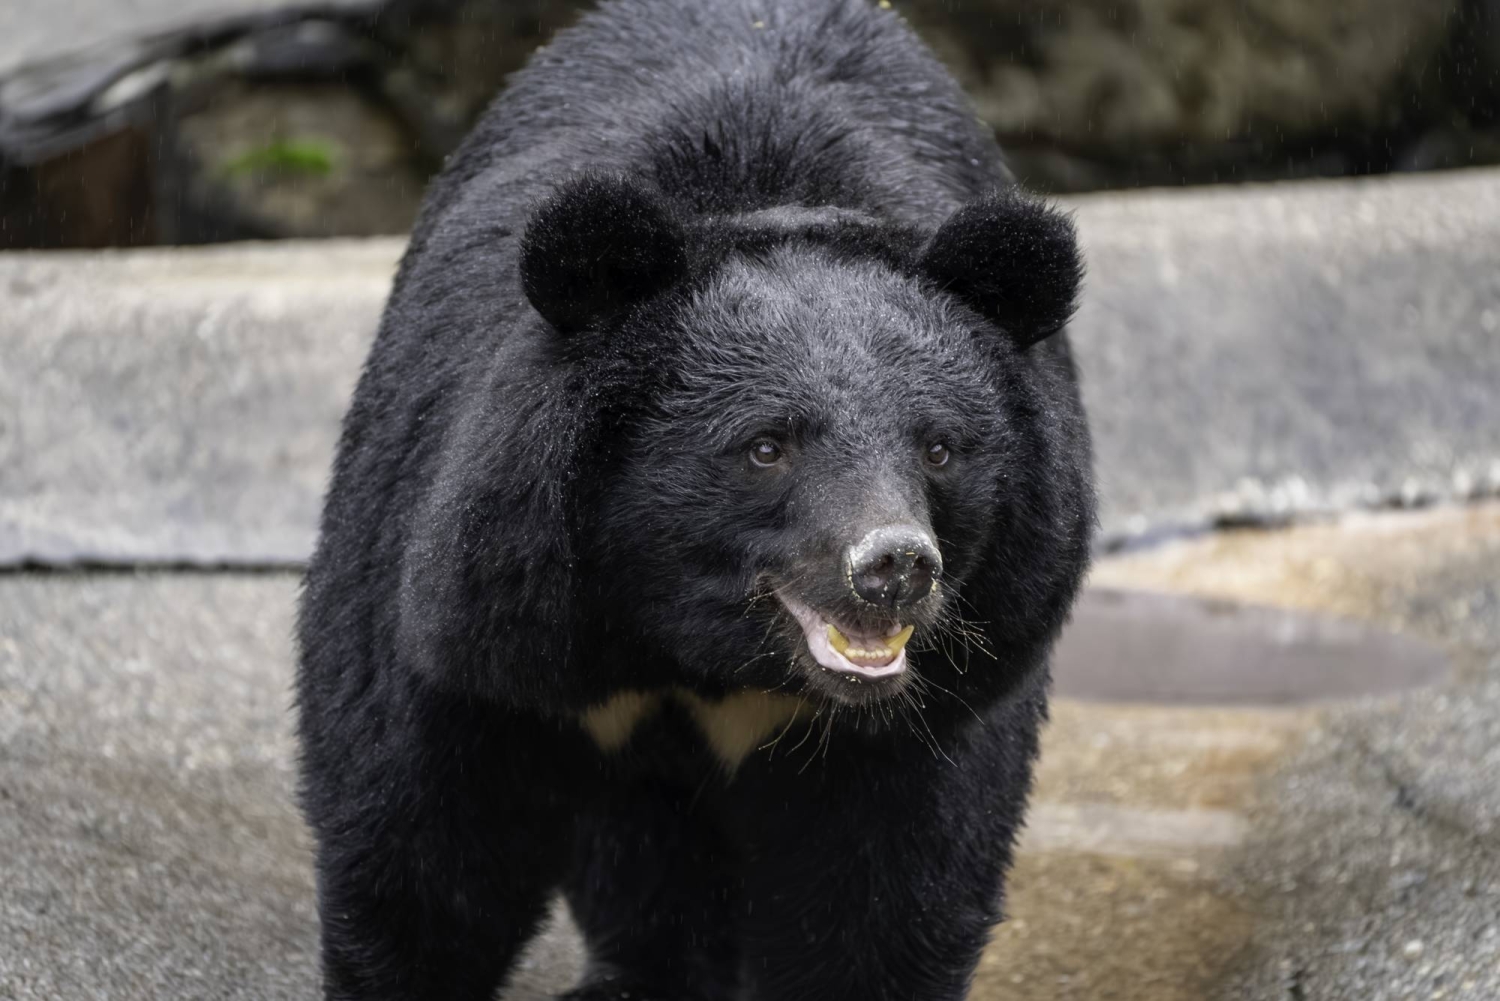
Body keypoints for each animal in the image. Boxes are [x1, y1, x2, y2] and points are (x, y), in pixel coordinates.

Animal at [295, 0, 1094, 998]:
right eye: (765, 446)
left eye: (940, 447)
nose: (894, 565)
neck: (702, 646)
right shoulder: (490, 602)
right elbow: (420, 831)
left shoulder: (944, 691)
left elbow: (890, 887)